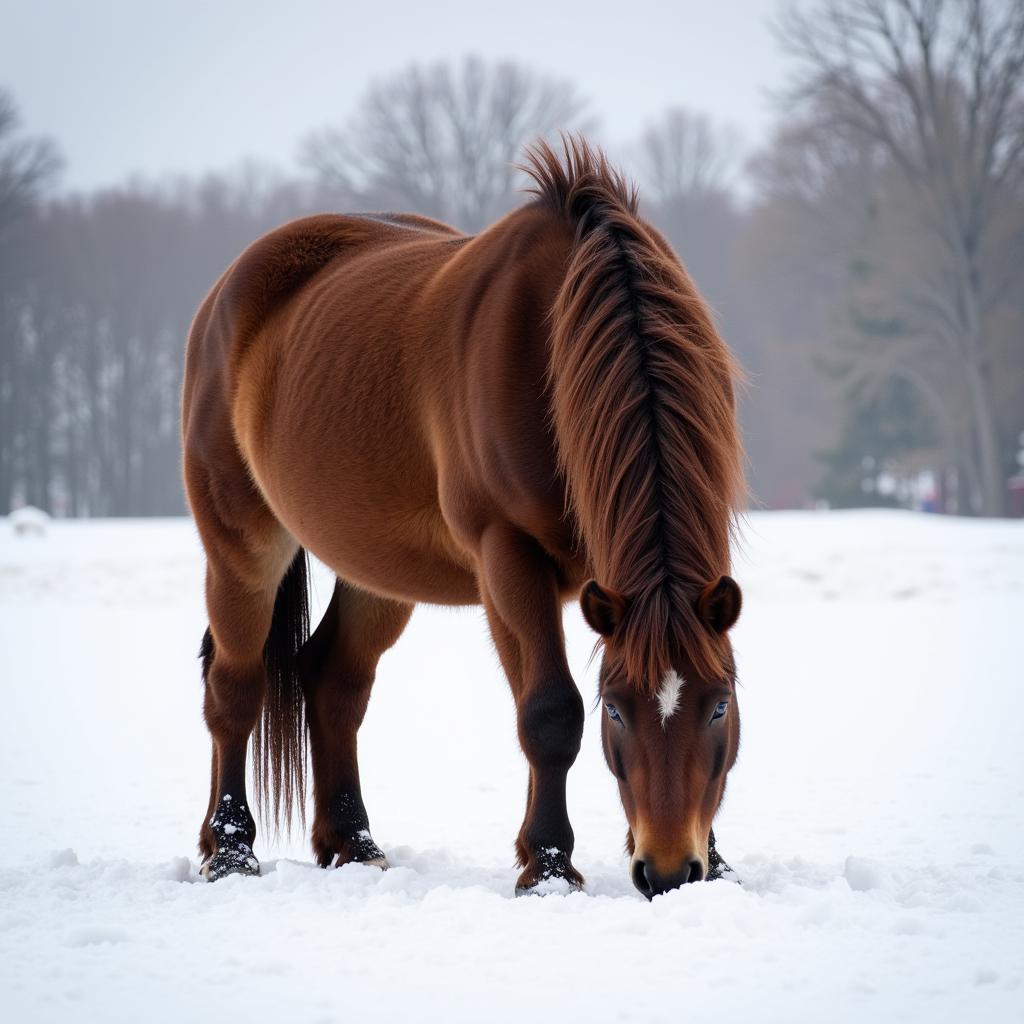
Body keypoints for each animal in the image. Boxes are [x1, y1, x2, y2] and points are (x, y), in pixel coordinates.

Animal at [182, 138, 745, 897]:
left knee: (333, 679)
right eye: (615, 706)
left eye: (720, 704)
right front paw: (549, 865)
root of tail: (224, 297)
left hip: (378, 572)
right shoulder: (508, 556)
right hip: (241, 545)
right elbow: (549, 713)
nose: (668, 870)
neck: (560, 338)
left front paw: (716, 863)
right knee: (234, 688)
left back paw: (354, 843)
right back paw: (230, 850)